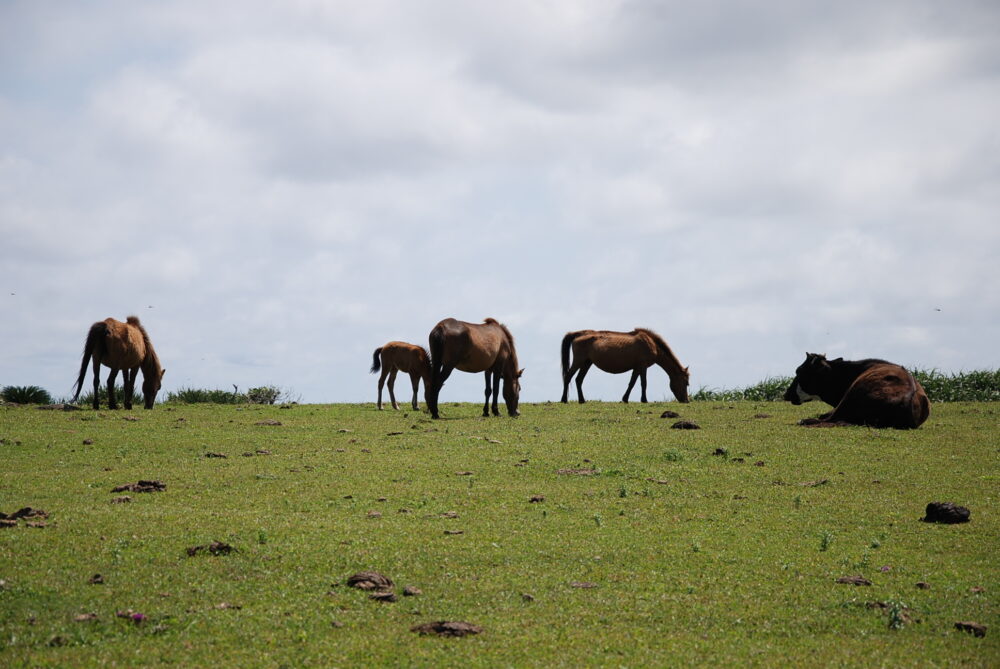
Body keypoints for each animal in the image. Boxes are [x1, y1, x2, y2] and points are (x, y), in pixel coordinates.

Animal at [560, 328, 692, 402]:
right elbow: (643, 383)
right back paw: (564, 399)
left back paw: (582, 400)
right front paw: (644, 400)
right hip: (578, 361)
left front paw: (625, 399)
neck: (651, 344)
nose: (686, 400)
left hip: (587, 363)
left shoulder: (636, 368)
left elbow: (632, 383)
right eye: (686, 383)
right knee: (568, 377)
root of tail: (578, 334)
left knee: (578, 380)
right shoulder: (643, 366)